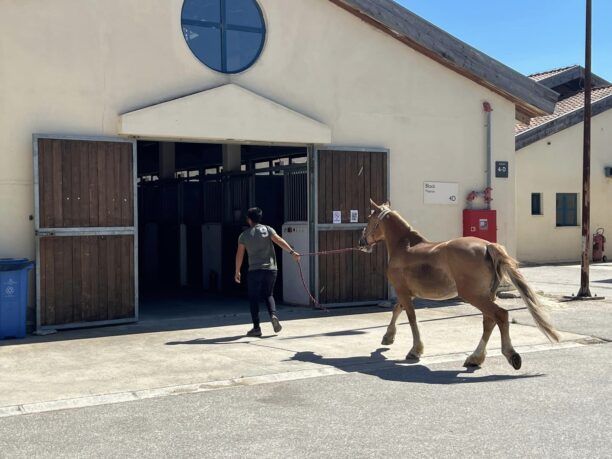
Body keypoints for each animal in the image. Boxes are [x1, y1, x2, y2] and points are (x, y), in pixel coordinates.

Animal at [358, 200, 560, 370]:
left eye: (369, 218)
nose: (361, 242)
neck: (404, 247)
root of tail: (488, 246)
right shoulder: (408, 292)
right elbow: (396, 310)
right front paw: (388, 337)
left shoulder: (403, 291)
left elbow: (411, 317)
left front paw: (415, 350)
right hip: (487, 296)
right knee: (489, 321)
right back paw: (475, 358)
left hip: (474, 296)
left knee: (500, 315)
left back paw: (511, 355)